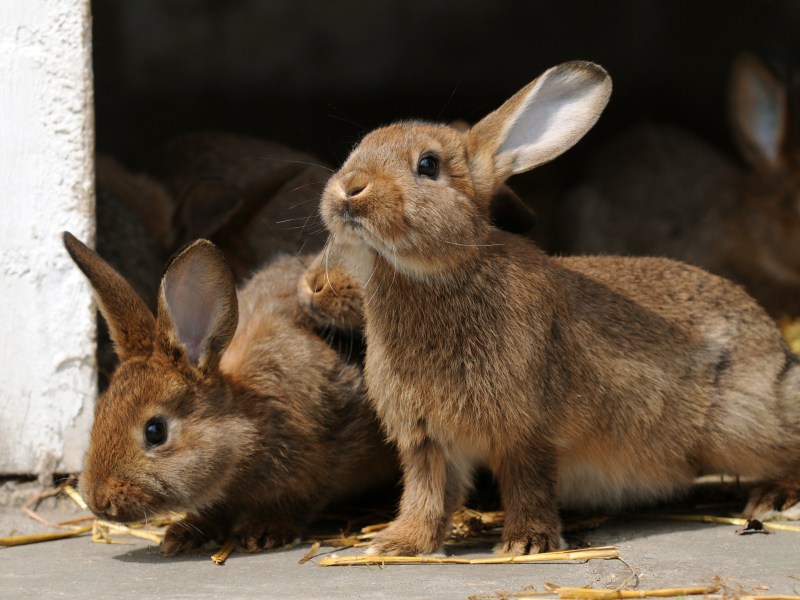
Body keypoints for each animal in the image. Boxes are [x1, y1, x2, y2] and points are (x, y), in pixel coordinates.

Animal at [63, 233, 396, 552]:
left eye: (155, 431)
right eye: (99, 412)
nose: (97, 501)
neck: (247, 424)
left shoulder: (319, 463)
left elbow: (293, 503)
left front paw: (263, 532)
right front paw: (183, 535)